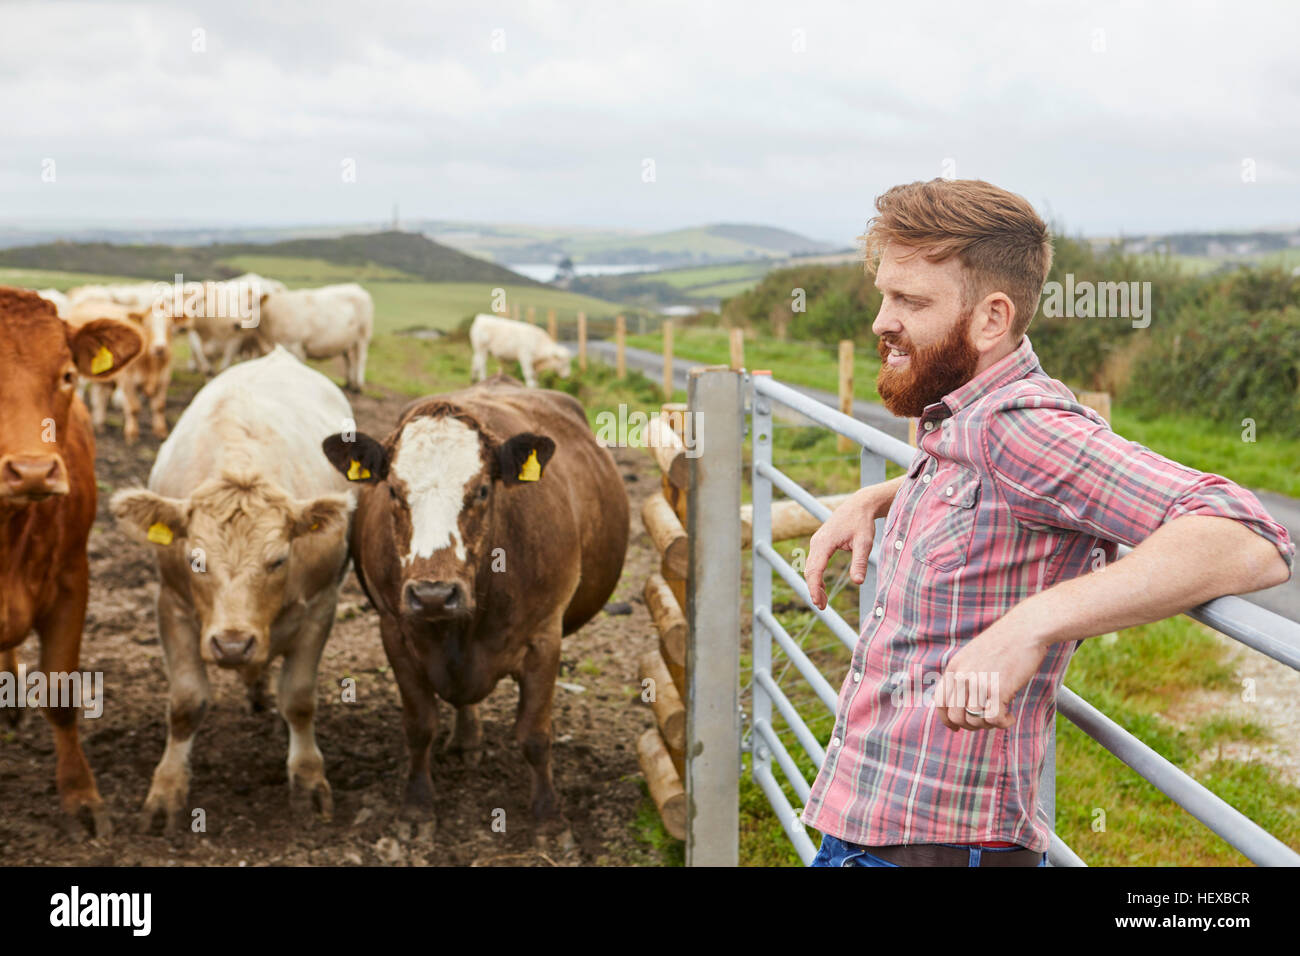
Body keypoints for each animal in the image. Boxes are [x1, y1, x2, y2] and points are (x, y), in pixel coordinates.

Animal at [110, 348, 356, 832]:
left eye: (278, 560)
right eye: (195, 560)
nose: (232, 644)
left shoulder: (322, 606)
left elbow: (299, 698)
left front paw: (308, 780)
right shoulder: (172, 604)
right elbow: (186, 703)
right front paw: (166, 791)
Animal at [323, 374, 629, 832]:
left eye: (482, 490)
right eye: (393, 489)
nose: (433, 594)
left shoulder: (545, 637)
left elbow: (535, 734)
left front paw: (548, 816)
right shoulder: (395, 632)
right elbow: (419, 726)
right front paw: (417, 805)